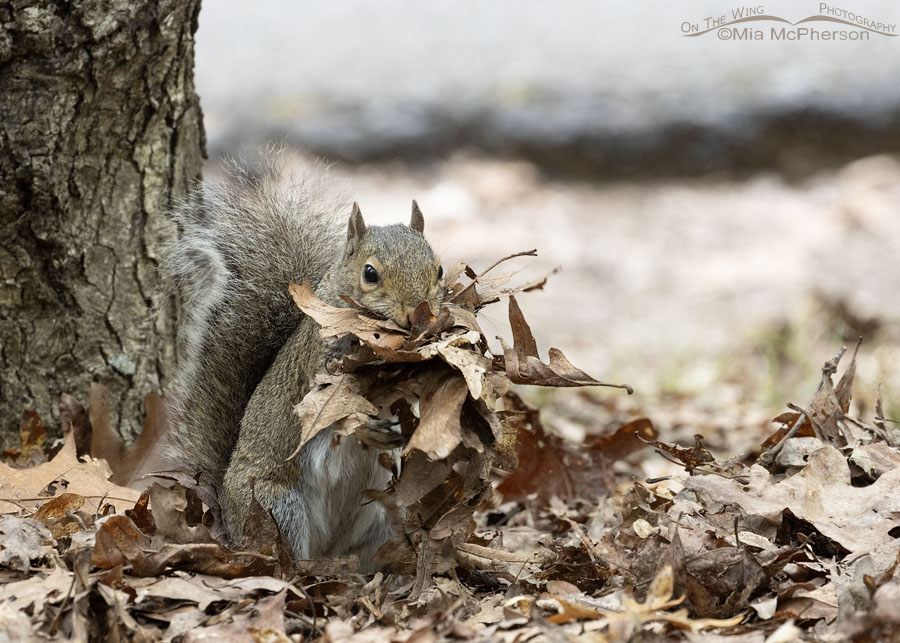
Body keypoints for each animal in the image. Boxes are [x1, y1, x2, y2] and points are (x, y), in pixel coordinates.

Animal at [166, 158, 446, 572]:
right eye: (370, 273)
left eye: (439, 270)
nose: (418, 315)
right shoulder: (320, 374)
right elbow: (331, 419)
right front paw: (370, 426)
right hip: (278, 509)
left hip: (384, 518)